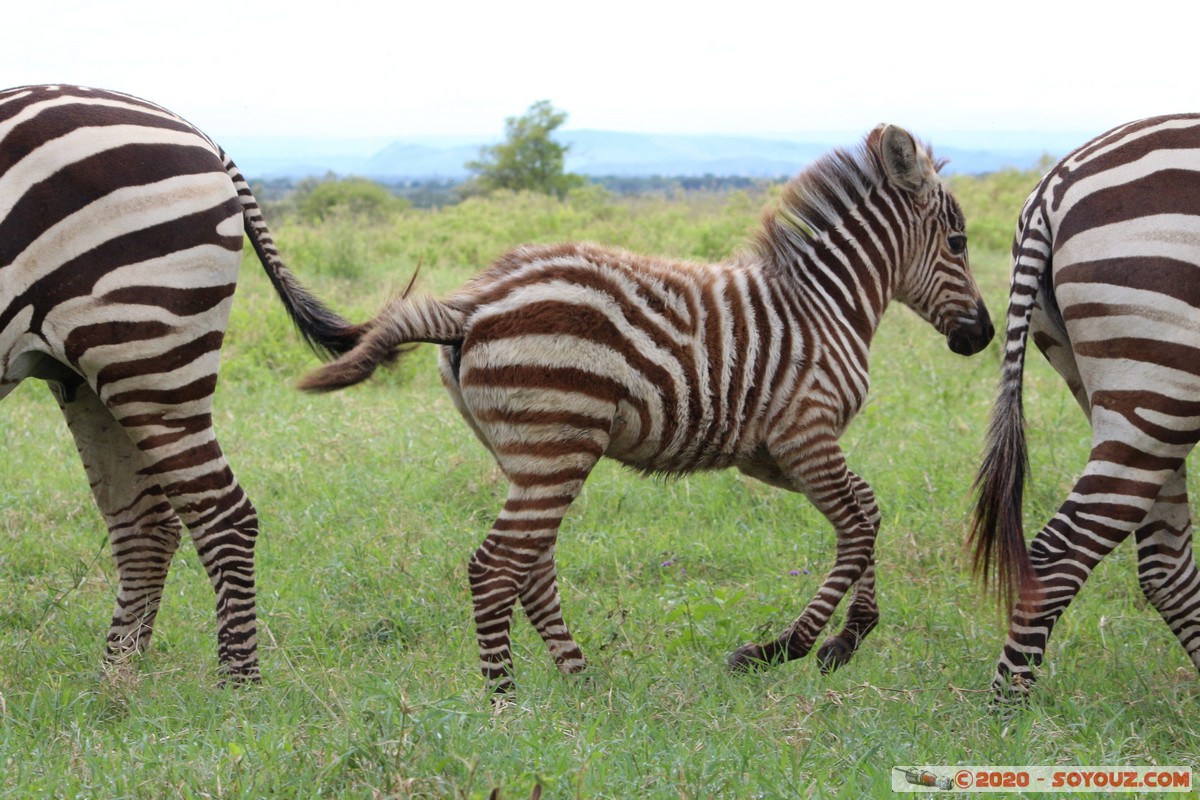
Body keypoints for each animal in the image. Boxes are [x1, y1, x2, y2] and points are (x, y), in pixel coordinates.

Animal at [0, 84, 360, 681]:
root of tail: (202, 136)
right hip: (87, 371)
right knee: (147, 523)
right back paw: (115, 686)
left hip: (147, 350)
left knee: (223, 514)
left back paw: (237, 685)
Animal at [302, 122, 993, 690]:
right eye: (959, 242)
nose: (983, 336)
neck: (827, 305)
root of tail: (470, 306)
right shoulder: (806, 433)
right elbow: (857, 526)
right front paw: (788, 647)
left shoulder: (771, 454)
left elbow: (868, 510)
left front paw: (848, 634)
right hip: (558, 444)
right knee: (495, 567)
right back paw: (505, 702)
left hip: (528, 455)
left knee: (531, 567)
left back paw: (582, 681)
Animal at [969, 112, 1200, 700]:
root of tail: (1053, 187)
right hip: (1162, 383)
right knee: (1062, 551)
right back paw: (1005, 711)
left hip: (1130, 395)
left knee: (1164, 565)